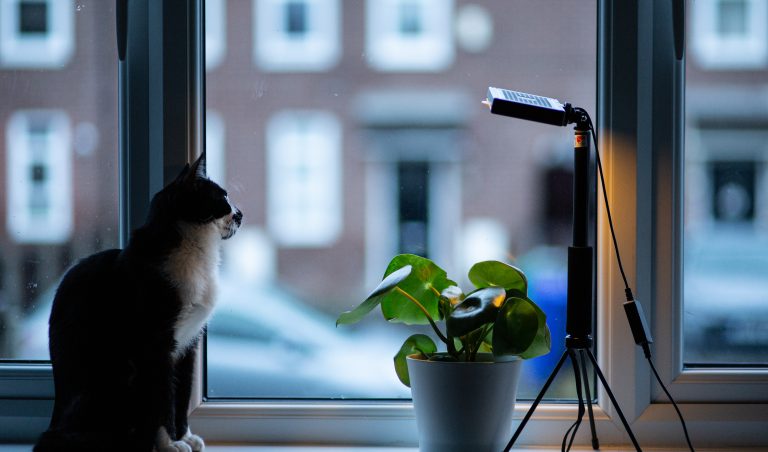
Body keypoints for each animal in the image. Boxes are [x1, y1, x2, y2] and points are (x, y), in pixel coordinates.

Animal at [33, 153, 242, 452]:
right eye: (222, 198)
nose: (240, 215)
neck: (198, 256)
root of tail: (52, 425)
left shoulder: (188, 345)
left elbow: (182, 393)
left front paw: (184, 436)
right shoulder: (155, 345)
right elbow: (161, 398)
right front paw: (169, 444)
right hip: (113, 379)